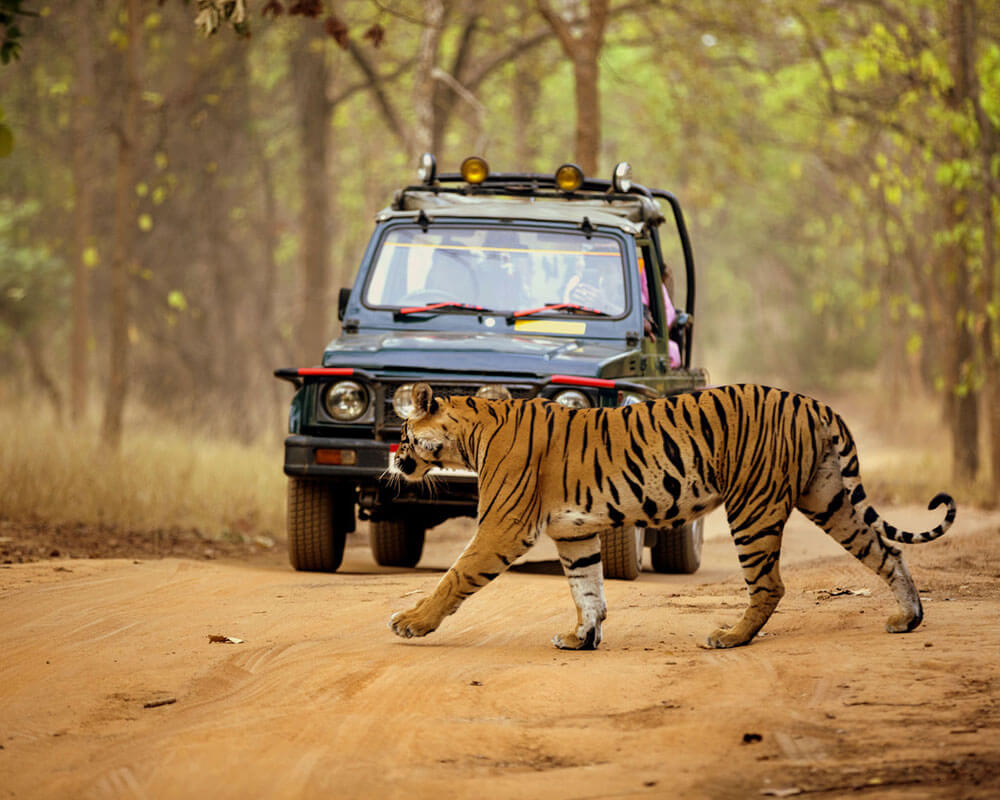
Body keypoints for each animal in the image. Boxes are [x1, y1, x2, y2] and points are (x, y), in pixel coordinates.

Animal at [386, 382, 956, 648]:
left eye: (404, 433)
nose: (392, 458)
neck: (469, 436)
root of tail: (812, 402)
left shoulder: (503, 527)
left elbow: (455, 576)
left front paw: (411, 622)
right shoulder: (574, 534)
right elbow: (587, 590)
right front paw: (581, 639)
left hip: (753, 506)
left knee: (770, 584)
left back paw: (730, 638)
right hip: (829, 498)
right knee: (886, 550)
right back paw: (908, 619)